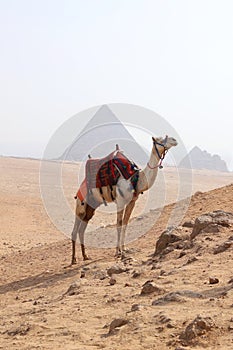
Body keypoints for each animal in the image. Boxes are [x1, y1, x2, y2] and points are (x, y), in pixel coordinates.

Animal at [70, 135, 177, 264]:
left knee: (82, 229)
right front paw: (118, 252)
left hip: (91, 207)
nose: (174, 140)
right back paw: (73, 259)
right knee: (75, 229)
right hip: (81, 204)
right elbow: (119, 224)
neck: (135, 179)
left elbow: (125, 223)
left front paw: (124, 249)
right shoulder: (120, 202)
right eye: (160, 140)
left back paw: (85, 256)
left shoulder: (132, 202)